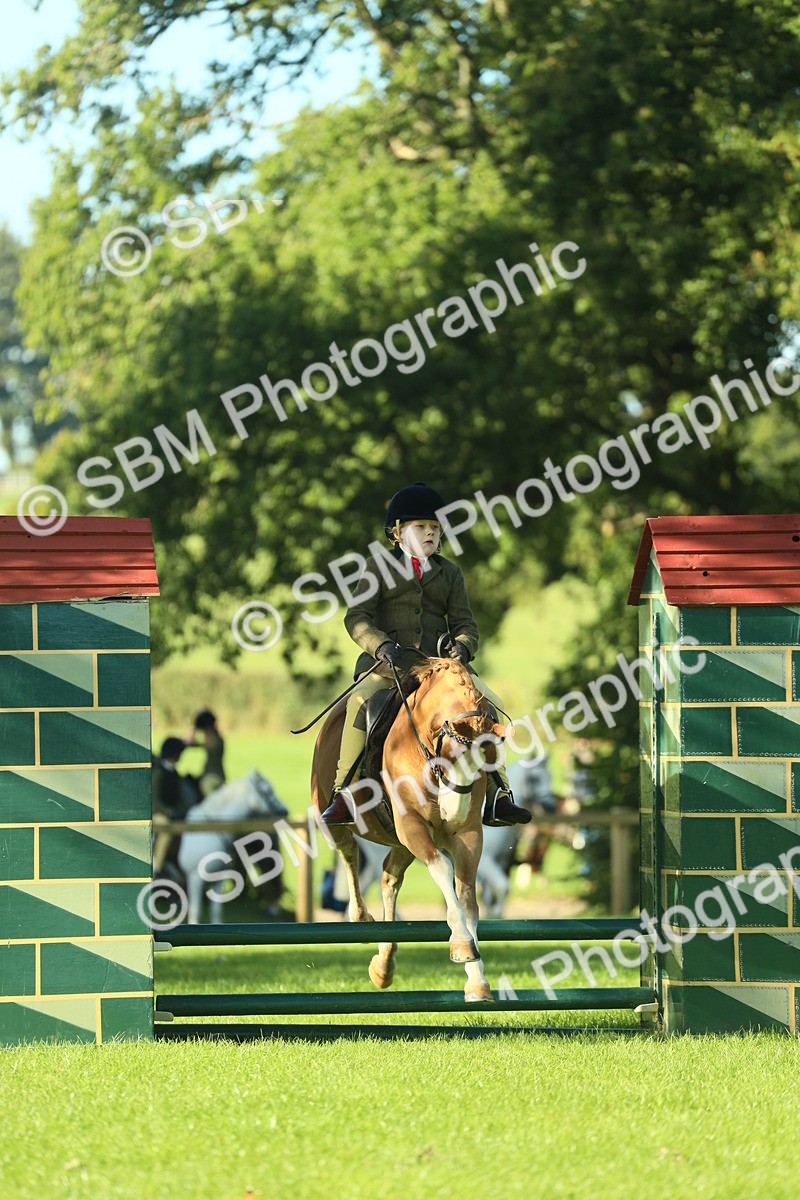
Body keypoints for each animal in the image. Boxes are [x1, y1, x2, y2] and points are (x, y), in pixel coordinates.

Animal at [177, 769, 288, 923]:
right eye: (267, 791)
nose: (285, 811)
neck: (207, 832)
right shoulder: (195, 878)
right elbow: (195, 912)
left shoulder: (219, 878)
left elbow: (216, 911)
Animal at [311, 657, 506, 1002]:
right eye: (451, 757)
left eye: (487, 763)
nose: (452, 814)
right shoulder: (412, 824)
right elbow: (441, 867)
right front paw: (462, 944)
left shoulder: (468, 834)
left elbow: (467, 897)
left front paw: (477, 981)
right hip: (330, 814)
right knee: (348, 852)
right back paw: (360, 917)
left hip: (402, 845)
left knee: (389, 877)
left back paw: (383, 966)